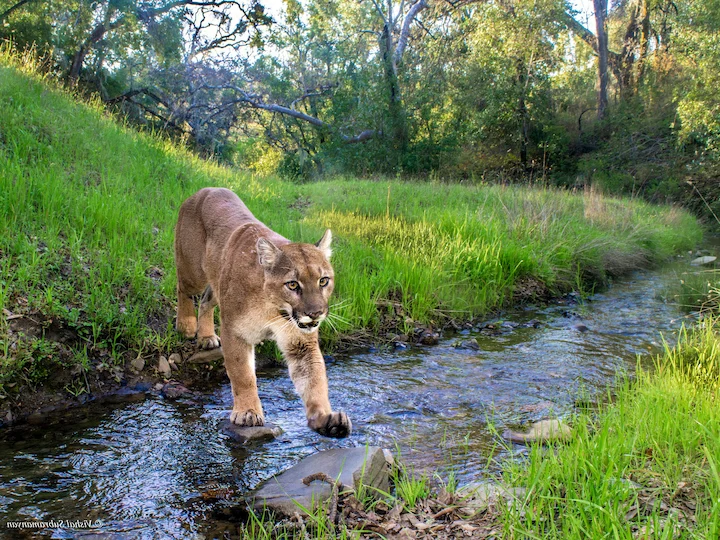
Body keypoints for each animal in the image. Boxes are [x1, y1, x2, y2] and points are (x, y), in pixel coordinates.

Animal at [174, 187, 351, 438]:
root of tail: (204, 190)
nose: (316, 313)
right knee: (183, 287)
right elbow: (243, 375)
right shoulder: (235, 332)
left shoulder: (300, 342)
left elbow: (314, 378)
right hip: (192, 271)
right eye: (293, 285)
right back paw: (186, 325)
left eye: (323, 280)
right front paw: (247, 413)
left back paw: (207, 336)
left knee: (207, 299)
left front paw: (325, 417)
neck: (273, 310)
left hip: (217, 281)